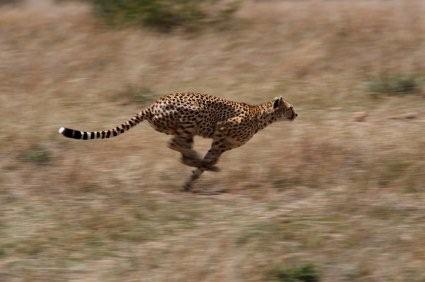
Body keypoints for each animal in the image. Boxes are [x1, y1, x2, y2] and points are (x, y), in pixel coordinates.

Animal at [58, 92, 298, 192]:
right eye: (291, 107)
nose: (297, 114)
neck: (260, 115)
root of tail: (153, 104)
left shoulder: (221, 145)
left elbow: (205, 163)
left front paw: (190, 182)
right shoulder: (221, 130)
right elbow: (207, 160)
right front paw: (203, 170)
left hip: (185, 130)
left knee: (180, 149)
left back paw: (196, 162)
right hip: (191, 119)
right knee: (174, 145)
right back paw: (198, 161)